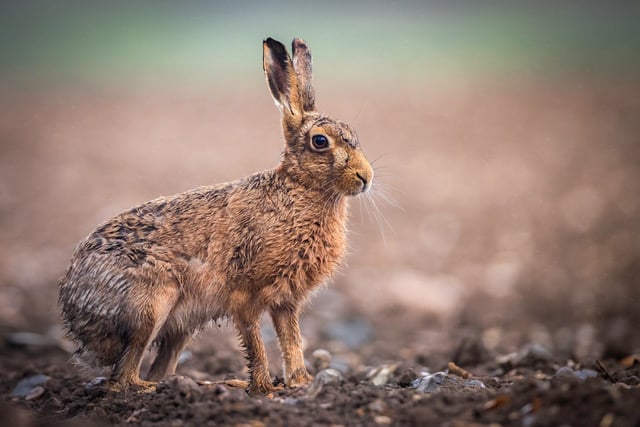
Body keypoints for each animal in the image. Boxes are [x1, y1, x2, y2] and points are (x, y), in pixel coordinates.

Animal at [58, 37, 373, 395]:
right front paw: (265, 389)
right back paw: (180, 387)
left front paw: (300, 383)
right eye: (320, 141)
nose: (366, 177)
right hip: (152, 304)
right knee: (122, 378)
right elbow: (256, 343)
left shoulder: (285, 301)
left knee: (155, 367)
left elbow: (292, 341)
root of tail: (74, 313)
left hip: (179, 328)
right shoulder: (245, 294)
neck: (300, 188)